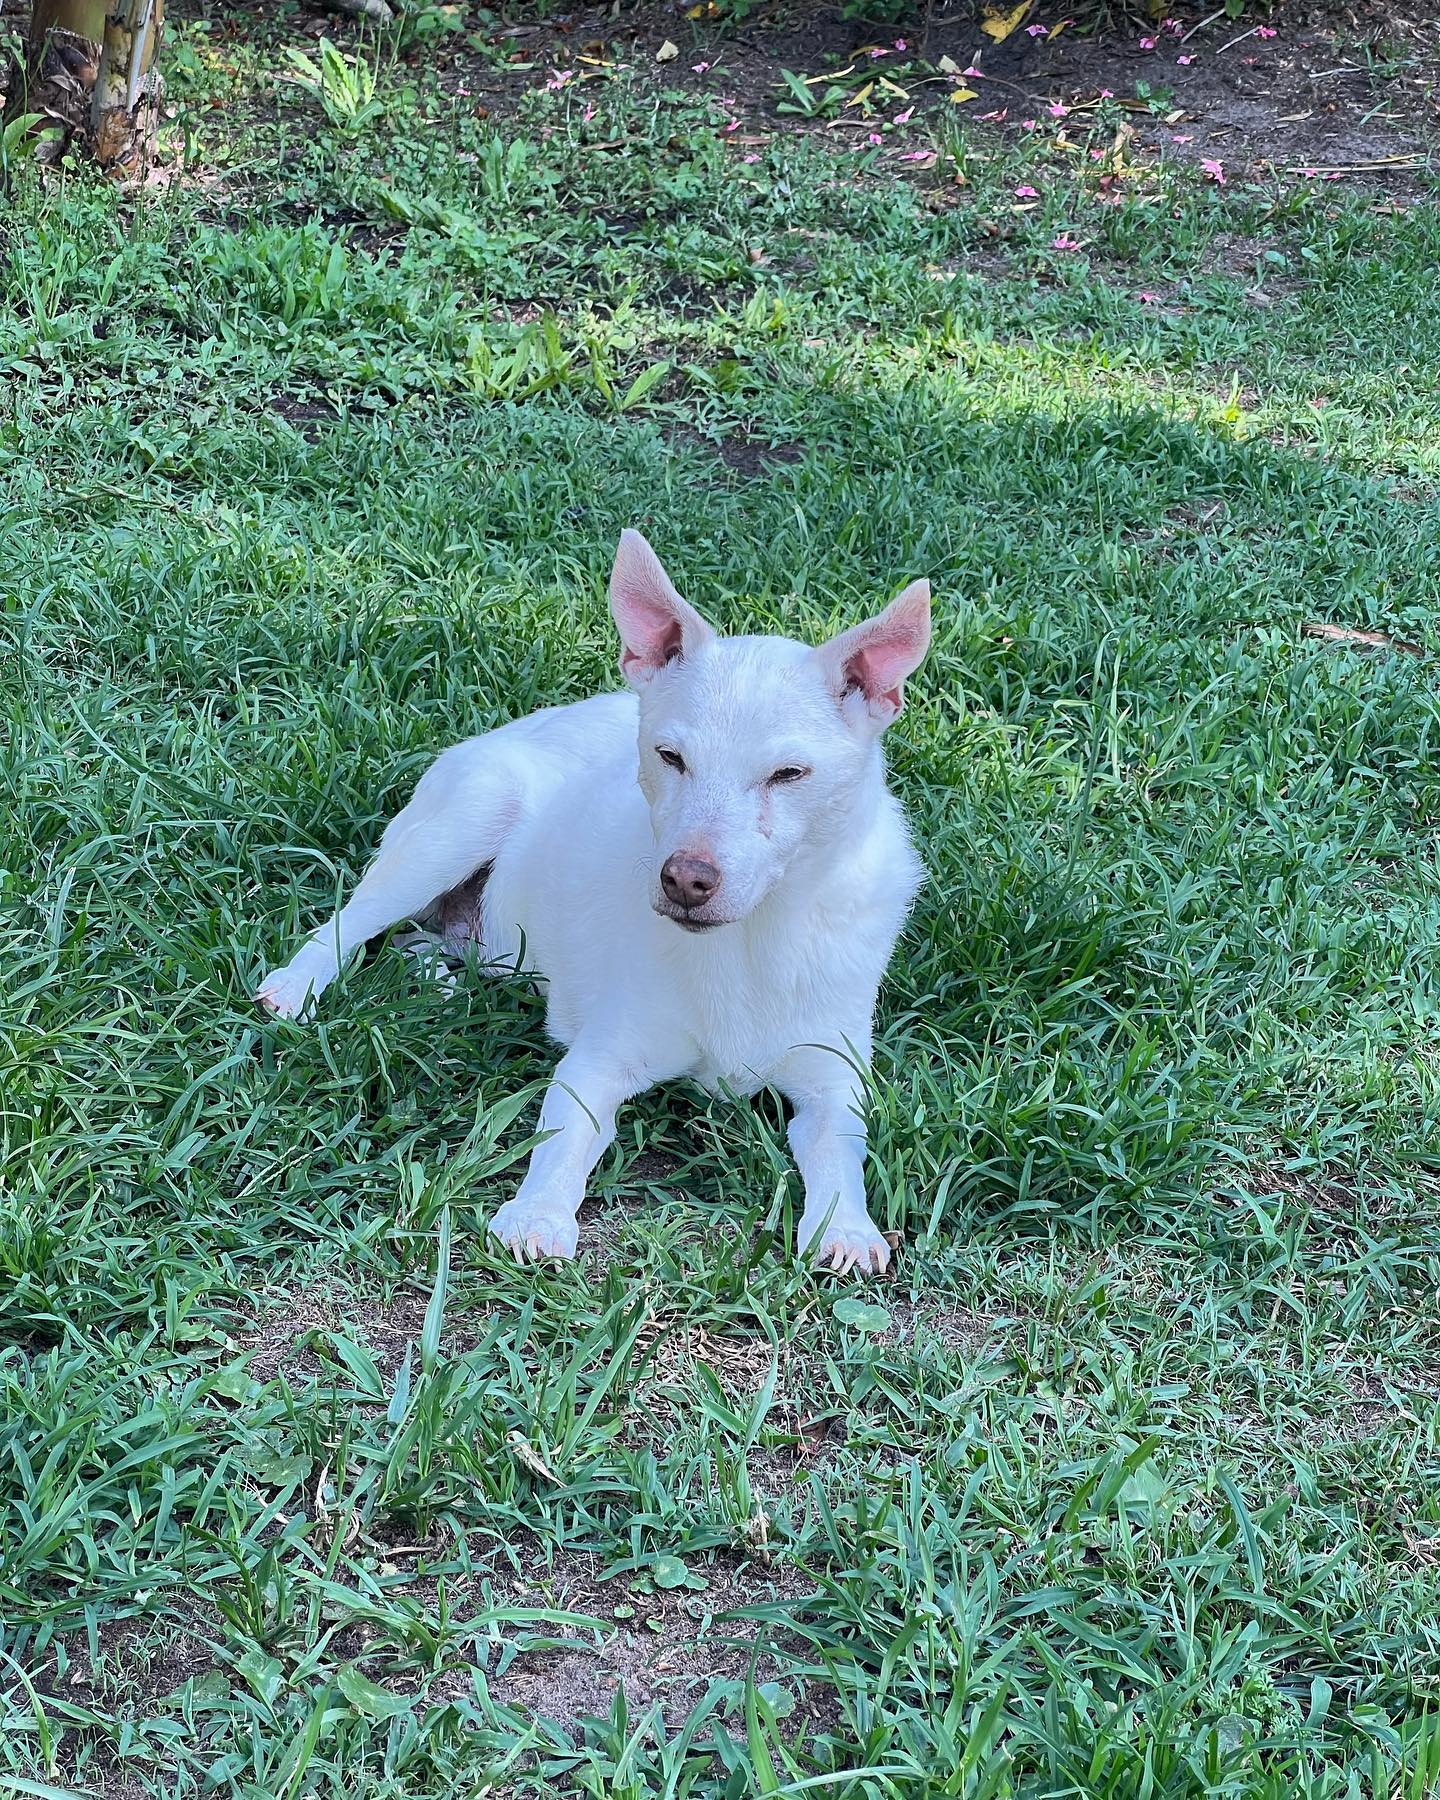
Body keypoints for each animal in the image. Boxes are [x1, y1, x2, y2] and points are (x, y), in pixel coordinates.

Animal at [257, 531, 932, 1275]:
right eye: (670, 757)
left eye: (789, 774)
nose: (685, 879)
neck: (751, 937)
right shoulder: (598, 1061)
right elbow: (565, 1139)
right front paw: (538, 1213)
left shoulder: (834, 1080)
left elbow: (840, 1153)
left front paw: (847, 1227)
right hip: (462, 820)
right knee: (347, 924)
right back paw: (297, 985)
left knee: (420, 941)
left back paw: (438, 975)